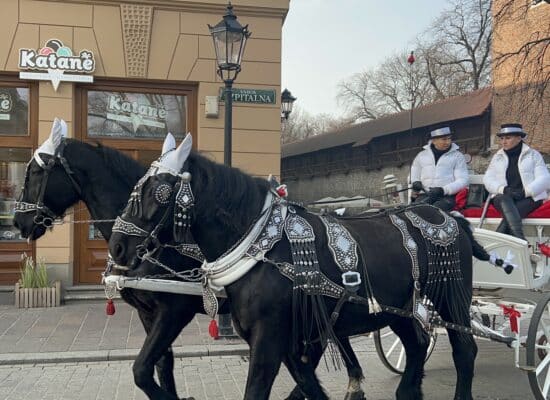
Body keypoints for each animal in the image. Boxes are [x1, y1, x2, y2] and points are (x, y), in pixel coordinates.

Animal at [11, 130, 366, 398]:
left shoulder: (174, 310)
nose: (18, 222)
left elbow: (142, 369)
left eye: (37, 172)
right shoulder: (147, 313)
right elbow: (160, 365)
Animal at [108, 136, 488, 398]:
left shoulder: (268, 339)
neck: (262, 247)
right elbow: (311, 388)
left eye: (157, 191)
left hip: (451, 297)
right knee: (417, 345)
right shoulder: (289, 340)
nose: (117, 246)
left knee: (465, 350)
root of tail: (447, 215)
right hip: (398, 310)